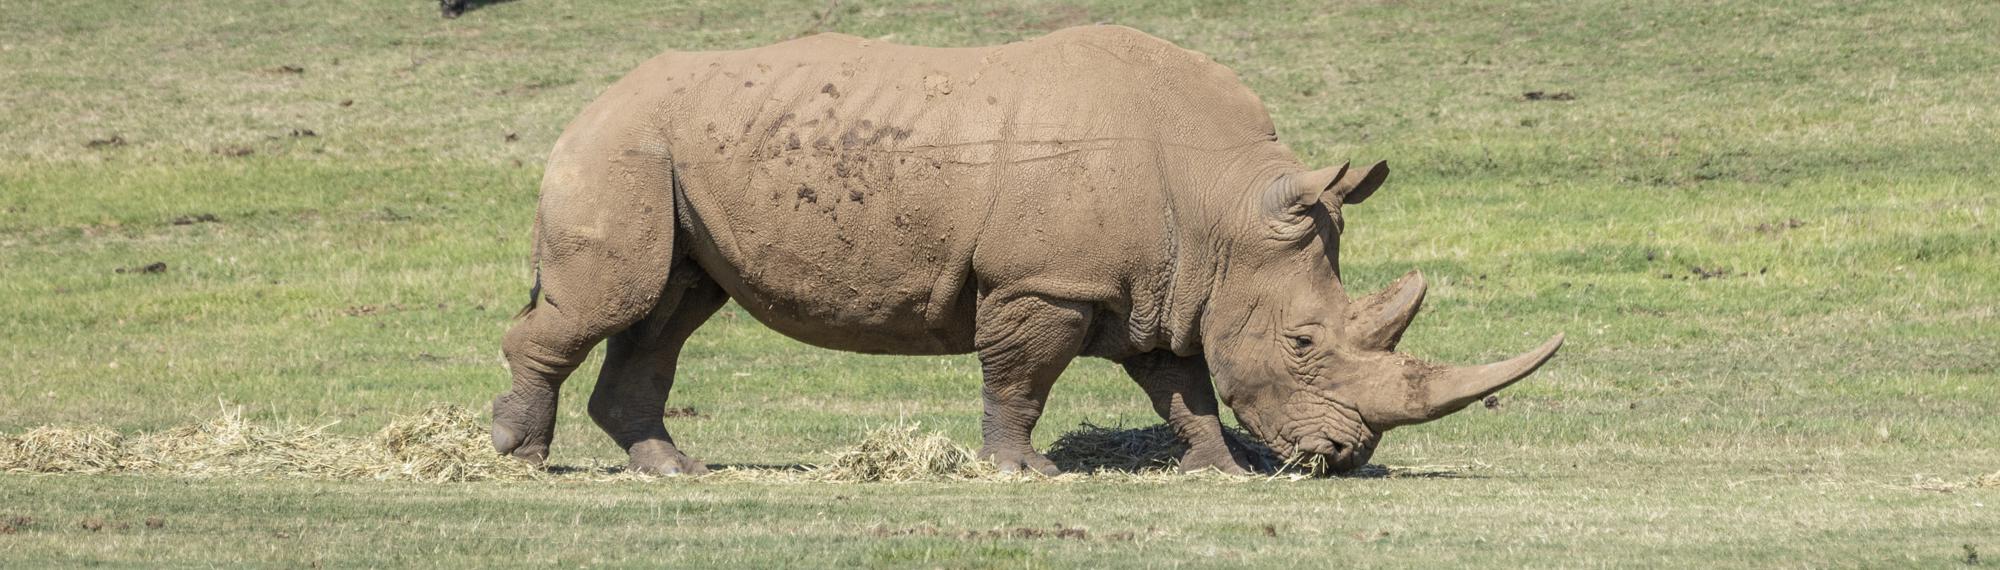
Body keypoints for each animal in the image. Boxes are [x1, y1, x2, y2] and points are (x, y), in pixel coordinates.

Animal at [490, 26, 1563, 476]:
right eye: (1304, 344)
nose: (1339, 458)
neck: (1224, 207)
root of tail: (590, 102)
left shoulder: (1164, 282)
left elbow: (1183, 385)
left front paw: (1218, 471)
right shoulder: (1044, 282)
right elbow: (1022, 379)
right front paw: (1023, 473)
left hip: (670, 153)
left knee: (669, 309)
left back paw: (673, 472)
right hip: (625, 147)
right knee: (620, 303)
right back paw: (518, 459)